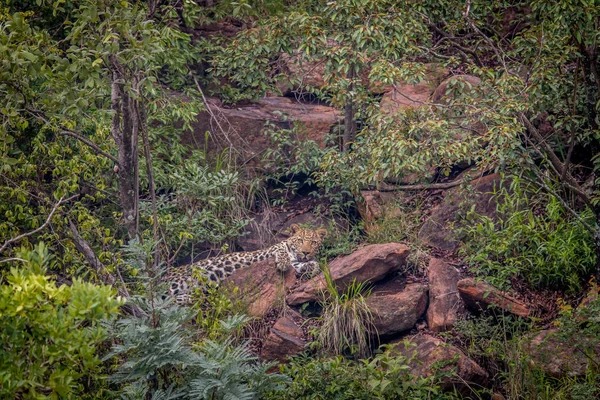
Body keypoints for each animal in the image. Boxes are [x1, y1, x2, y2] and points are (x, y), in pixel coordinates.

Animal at [164, 223, 326, 304]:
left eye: (313, 243)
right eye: (300, 240)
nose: (305, 252)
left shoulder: (297, 262)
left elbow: (313, 265)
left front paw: (311, 267)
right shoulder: (259, 254)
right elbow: (280, 250)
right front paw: (284, 262)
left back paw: (190, 297)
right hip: (179, 280)